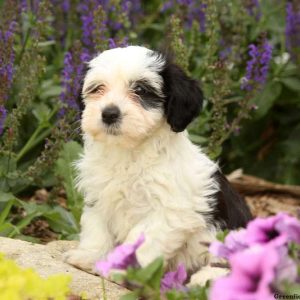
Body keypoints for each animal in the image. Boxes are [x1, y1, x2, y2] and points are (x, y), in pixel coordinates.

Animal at [64, 45, 252, 282]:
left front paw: (123, 269)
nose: (109, 113)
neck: (130, 153)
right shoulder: (99, 197)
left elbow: (140, 240)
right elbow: (96, 229)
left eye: (141, 90)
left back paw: (206, 278)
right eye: (98, 88)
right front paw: (89, 256)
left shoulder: (168, 211)